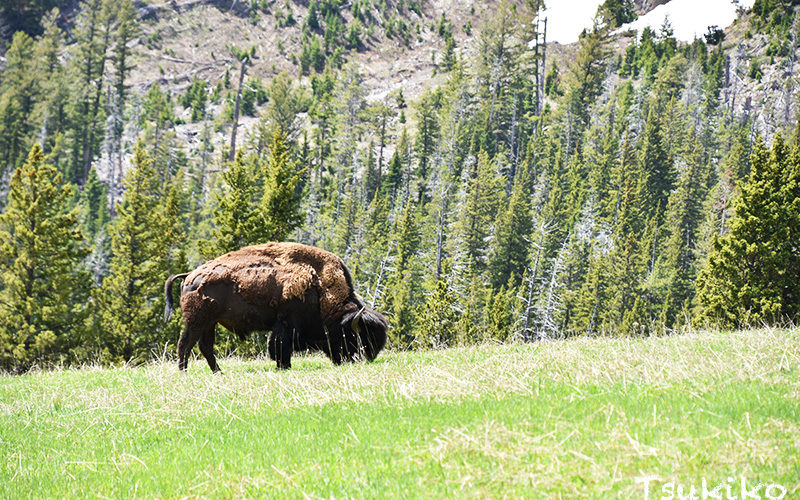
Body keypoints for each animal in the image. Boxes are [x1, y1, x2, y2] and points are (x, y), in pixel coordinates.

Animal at [162, 242, 388, 372]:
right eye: (353, 336)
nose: (362, 359)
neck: (321, 288)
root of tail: (190, 275)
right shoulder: (286, 325)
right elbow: (280, 347)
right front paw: (283, 366)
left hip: (210, 322)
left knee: (205, 347)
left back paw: (218, 372)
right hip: (196, 321)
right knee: (185, 344)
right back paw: (184, 372)